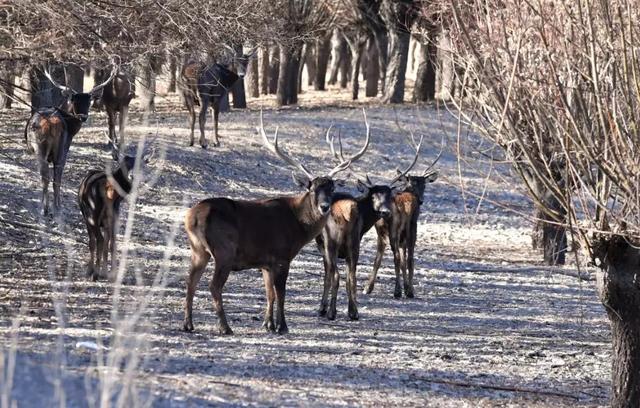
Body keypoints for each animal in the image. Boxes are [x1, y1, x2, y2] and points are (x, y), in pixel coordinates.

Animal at [24, 62, 119, 215]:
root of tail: (50, 124)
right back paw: (54, 207)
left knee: (45, 175)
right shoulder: (66, 147)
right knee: (53, 176)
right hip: (57, 147)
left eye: (89, 101)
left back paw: (45, 208)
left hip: (41, 148)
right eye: (74, 101)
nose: (83, 117)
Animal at [181, 111, 370, 334]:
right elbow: (281, 292)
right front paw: (283, 326)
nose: (324, 206)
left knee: (190, 281)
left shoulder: (266, 262)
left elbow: (269, 292)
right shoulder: (282, 256)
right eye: (312, 189)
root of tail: (191, 218)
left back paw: (188, 324)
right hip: (223, 250)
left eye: (332, 189)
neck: (298, 226)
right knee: (213, 285)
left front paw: (268, 323)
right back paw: (225, 327)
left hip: (198, 249)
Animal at [364, 135, 440, 298]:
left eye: (424, 185)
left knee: (383, 258)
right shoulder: (409, 229)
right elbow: (406, 259)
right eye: (416, 185)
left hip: (385, 231)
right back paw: (402, 291)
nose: (421, 200)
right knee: (404, 258)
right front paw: (407, 288)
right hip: (404, 229)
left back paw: (373, 288)